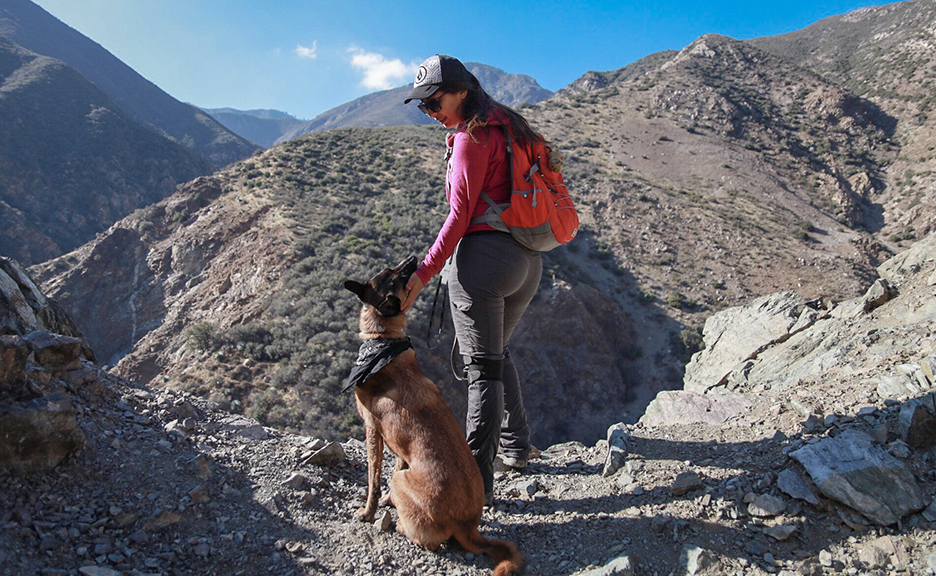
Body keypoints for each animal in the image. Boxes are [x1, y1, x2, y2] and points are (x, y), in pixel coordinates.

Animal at [344, 256, 524, 576]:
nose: (414, 259)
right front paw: (387, 502)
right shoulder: (398, 448)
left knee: (428, 542)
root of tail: (467, 525)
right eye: (390, 272)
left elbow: (373, 481)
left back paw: (399, 526)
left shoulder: (372, 431)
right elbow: (395, 464)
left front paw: (367, 511)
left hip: (402, 481)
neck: (383, 340)